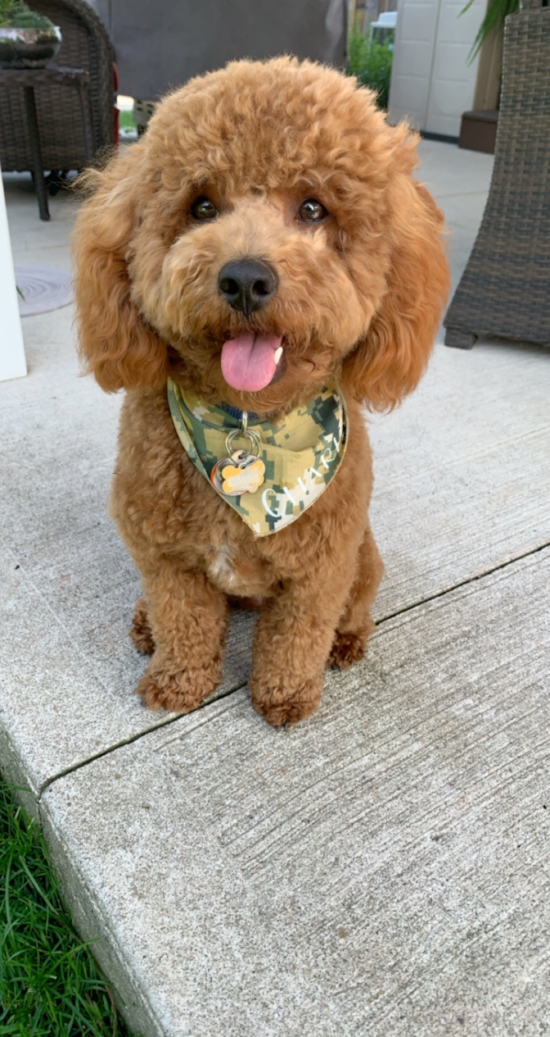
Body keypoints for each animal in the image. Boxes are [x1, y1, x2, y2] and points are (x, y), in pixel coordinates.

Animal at [72, 56, 448, 730]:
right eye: (201, 205)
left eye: (314, 208)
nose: (245, 278)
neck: (246, 424)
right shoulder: (166, 559)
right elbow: (184, 621)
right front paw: (178, 681)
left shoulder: (319, 571)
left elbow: (296, 636)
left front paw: (285, 694)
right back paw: (145, 625)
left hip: (364, 556)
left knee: (354, 608)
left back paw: (346, 643)